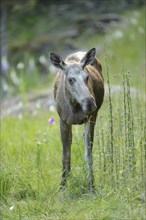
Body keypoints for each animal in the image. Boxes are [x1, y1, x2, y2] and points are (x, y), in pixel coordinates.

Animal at [50, 48, 104, 191]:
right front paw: (62, 187)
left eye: (87, 77)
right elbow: (65, 155)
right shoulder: (63, 120)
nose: (90, 103)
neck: (74, 107)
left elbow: (88, 155)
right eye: (70, 79)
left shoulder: (89, 118)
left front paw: (92, 186)